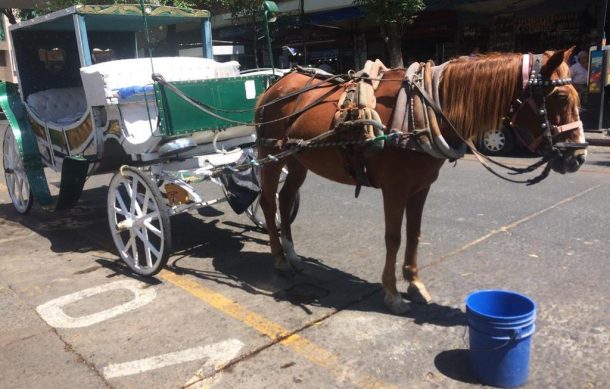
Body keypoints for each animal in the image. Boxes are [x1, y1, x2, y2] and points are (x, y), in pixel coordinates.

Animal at [252, 49, 584, 316]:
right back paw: (280, 259)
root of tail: (274, 87)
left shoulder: (421, 187)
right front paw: (392, 293)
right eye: (560, 97)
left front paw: (414, 283)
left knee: (285, 199)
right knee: (268, 202)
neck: (424, 109)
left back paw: (292, 254)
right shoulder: (395, 190)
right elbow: (394, 238)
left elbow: (414, 234)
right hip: (271, 155)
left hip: (297, 159)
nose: (578, 157)